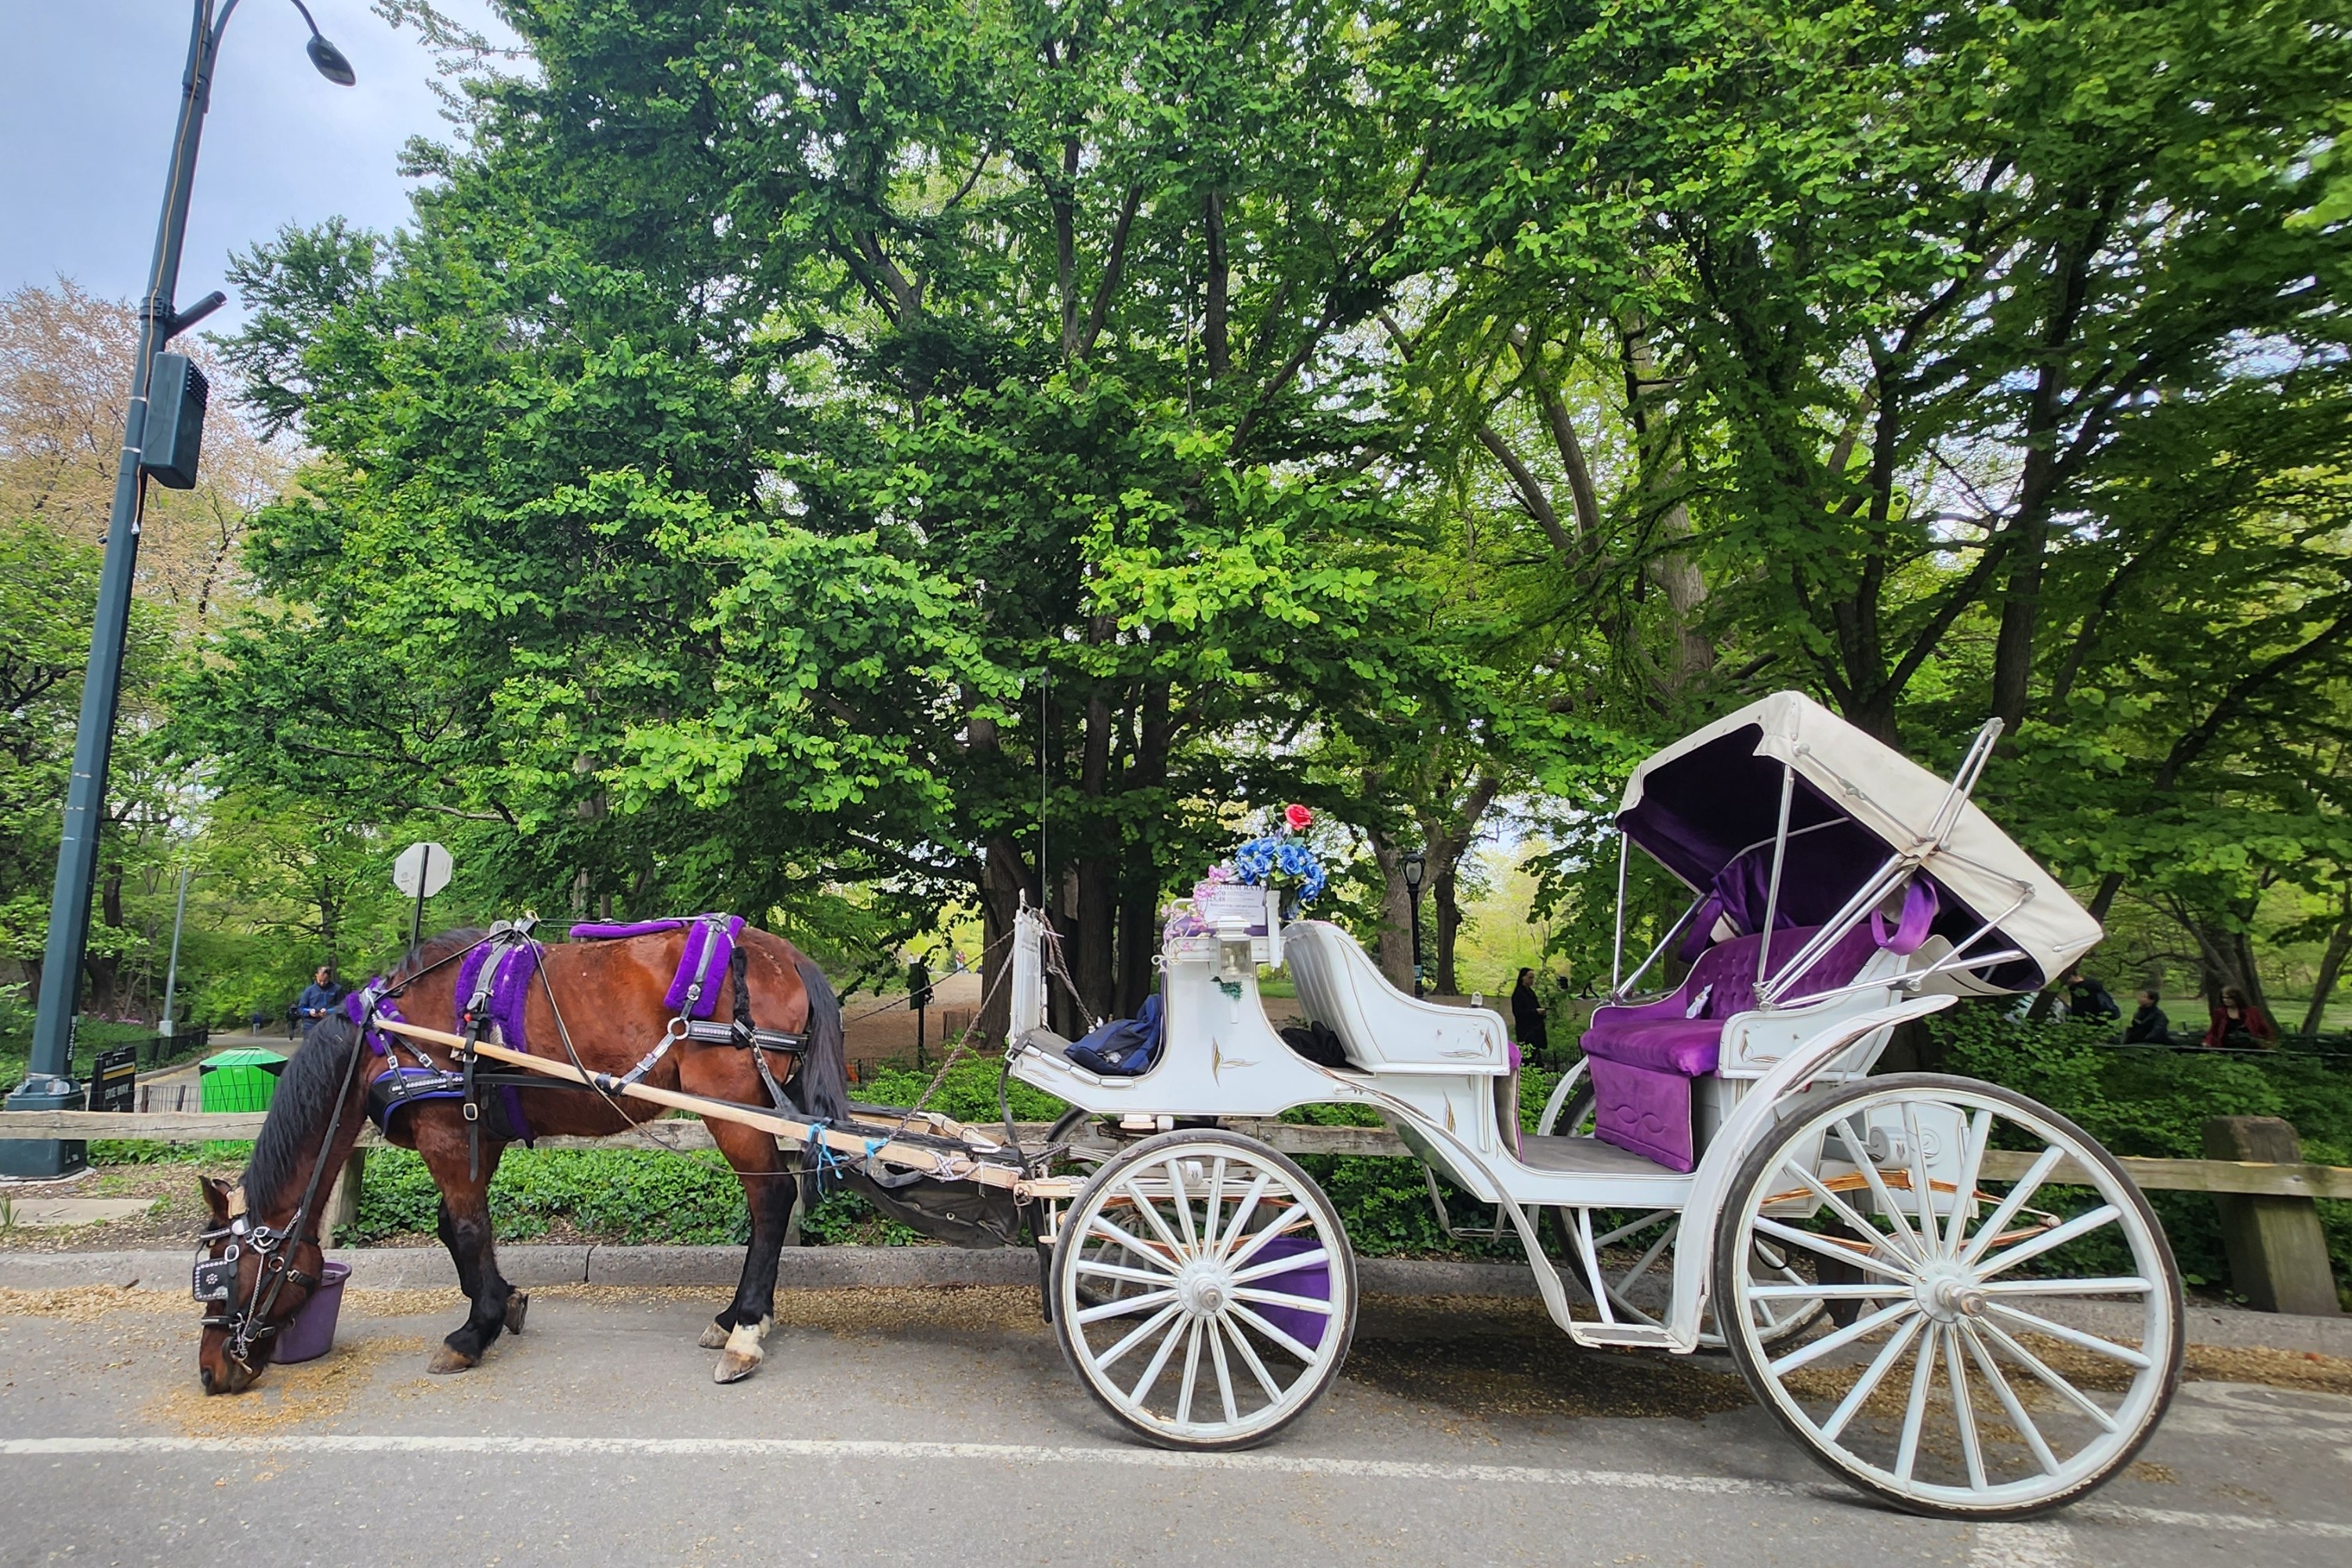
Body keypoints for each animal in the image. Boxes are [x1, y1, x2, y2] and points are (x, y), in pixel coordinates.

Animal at [195, 926, 847, 1392]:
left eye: (220, 1278)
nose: (211, 1371)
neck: (383, 1036)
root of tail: (786, 954)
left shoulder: (445, 1134)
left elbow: (467, 1228)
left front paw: (472, 1332)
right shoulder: (480, 1134)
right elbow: (457, 1229)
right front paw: (503, 1301)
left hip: (732, 1108)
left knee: (771, 1200)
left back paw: (746, 1328)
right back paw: (734, 1316)